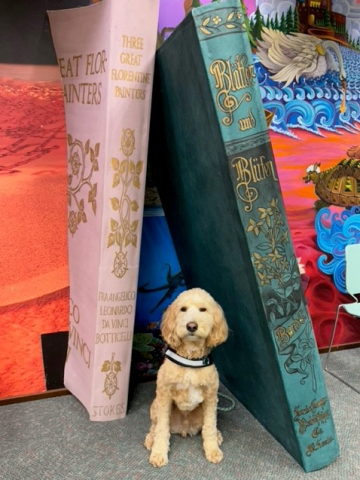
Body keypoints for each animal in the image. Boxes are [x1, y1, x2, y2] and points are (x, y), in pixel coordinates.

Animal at [144, 286, 226, 466]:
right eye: (183, 309)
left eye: (203, 309)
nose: (191, 326)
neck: (190, 357)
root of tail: (184, 428)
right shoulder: (165, 396)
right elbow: (161, 429)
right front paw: (158, 453)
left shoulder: (211, 397)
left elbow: (209, 427)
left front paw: (212, 450)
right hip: (155, 405)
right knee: (155, 426)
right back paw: (151, 439)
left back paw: (217, 436)